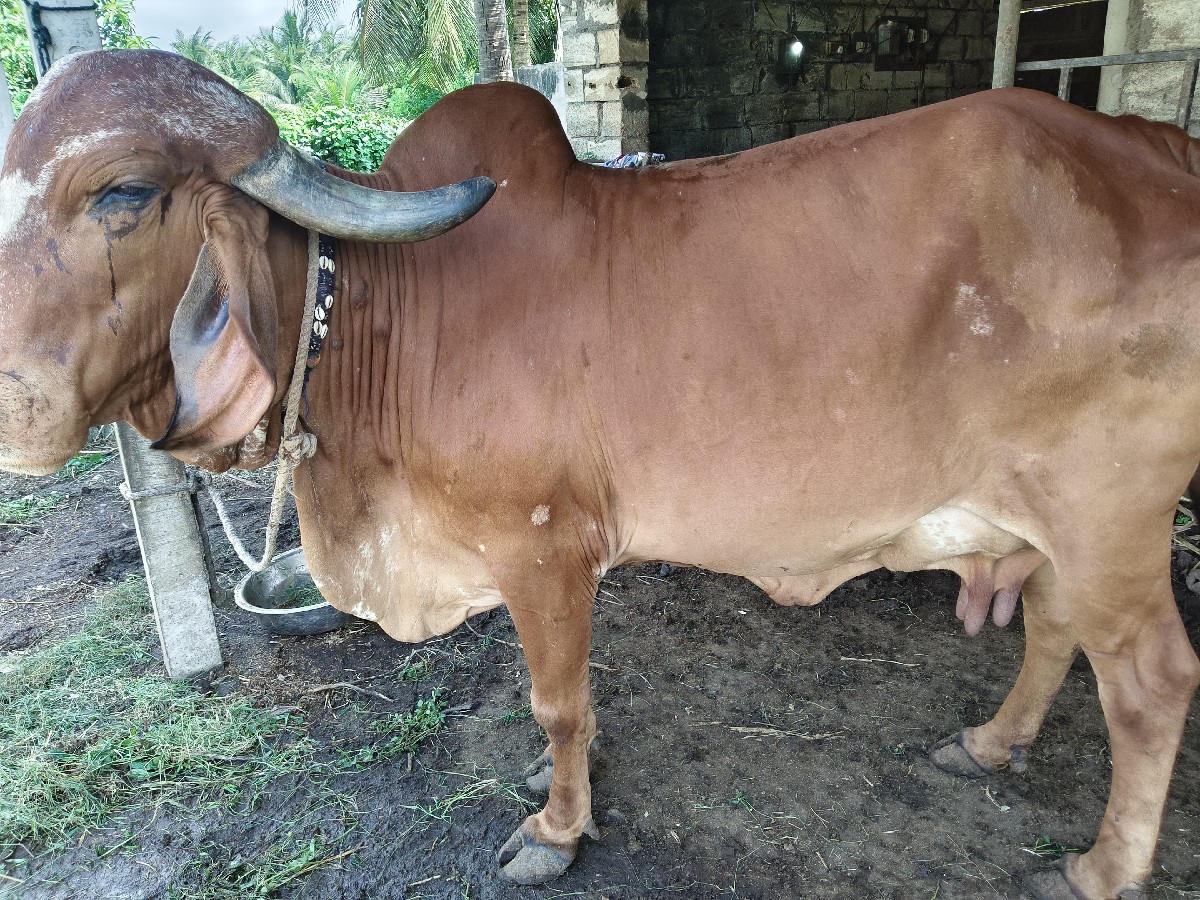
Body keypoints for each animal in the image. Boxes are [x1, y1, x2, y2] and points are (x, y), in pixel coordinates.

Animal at [1, 48, 1198, 898]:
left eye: (123, 193)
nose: (14, 402)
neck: (390, 316)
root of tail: (1152, 146)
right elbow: (569, 704)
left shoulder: (540, 547)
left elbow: (558, 699)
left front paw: (556, 828)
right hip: (1048, 526)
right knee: (1053, 629)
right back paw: (991, 745)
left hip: (1109, 518)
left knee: (1148, 684)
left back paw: (1099, 869)